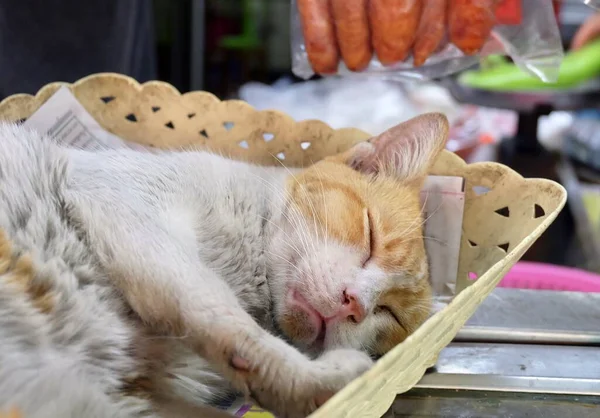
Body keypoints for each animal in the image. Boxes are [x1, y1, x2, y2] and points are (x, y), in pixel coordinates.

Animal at [0, 112, 448, 416]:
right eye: (370, 235)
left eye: (389, 315)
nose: (352, 303)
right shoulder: (125, 207)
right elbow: (224, 316)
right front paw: (322, 379)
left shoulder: (136, 397)